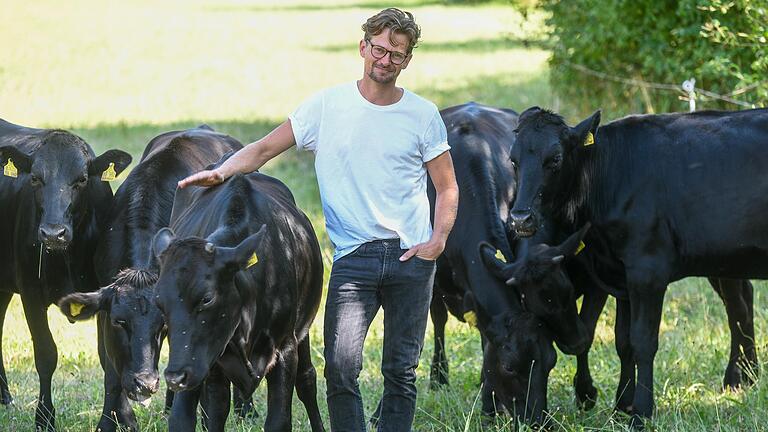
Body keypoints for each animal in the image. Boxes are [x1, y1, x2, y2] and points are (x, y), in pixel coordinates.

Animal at [0, 117, 130, 428]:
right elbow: (46, 354)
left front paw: (108, 420)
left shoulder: (106, 295)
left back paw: (5, 397)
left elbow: (108, 359)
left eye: (81, 179)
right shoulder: (30, 293)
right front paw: (44, 418)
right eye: (35, 178)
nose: (52, 233)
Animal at [57, 125, 243, 432]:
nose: (145, 383)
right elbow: (110, 371)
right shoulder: (103, 315)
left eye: (163, 324)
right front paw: (114, 420)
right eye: (120, 321)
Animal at [153, 170, 324, 430]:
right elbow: (210, 414)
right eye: (160, 303)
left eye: (207, 298)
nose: (174, 377)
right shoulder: (210, 363)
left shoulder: (286, 347)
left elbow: (279, 419)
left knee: (307, 380)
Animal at [508, 106, 764, 424]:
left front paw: (640, 412)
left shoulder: (647, 270)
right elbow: (624, 341)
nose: (520, 218)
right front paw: (622, 405)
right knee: (741, 302)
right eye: (513, 160)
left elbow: (643, 341)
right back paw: (743, 377)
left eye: (554, 158)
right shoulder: (622, 277)